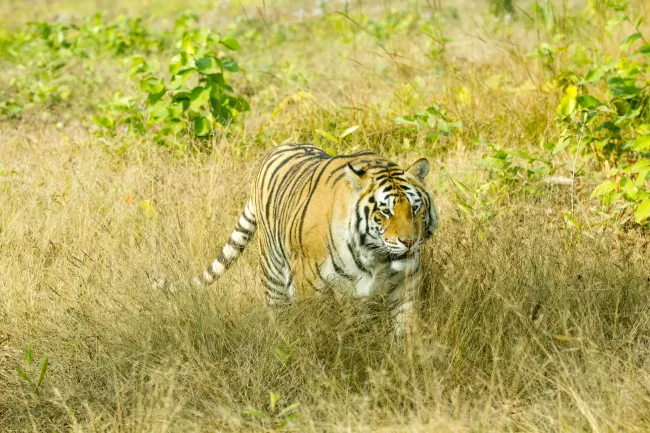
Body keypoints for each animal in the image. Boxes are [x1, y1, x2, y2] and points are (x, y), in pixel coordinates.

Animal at [190, 143, 438, 340]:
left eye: (415, 208)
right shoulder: (308, 284)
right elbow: (313, 330)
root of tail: (277, 149)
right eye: (385, 211)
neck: (374, 258)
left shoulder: (406, 283)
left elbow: (405, 327)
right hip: (273, 272)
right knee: (278, 311)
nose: (409, 242)